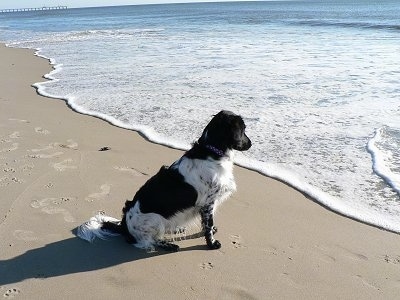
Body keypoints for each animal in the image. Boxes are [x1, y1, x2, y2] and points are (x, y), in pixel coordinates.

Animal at [77, 110, 252, 251]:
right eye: (243, 129)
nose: (250, 144)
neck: (211, 152)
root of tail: (124, 225)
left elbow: (206, 225)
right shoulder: (207, 203)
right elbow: (208, 227)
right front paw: (212, 244)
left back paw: (176, 229)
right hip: (155, 219)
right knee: (148, 241)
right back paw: (168, 245)